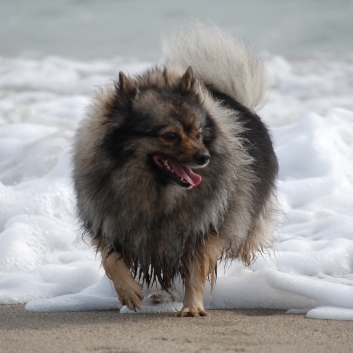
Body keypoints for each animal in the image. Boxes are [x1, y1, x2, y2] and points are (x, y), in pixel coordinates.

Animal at [72, 21, 278, 316]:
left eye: (199, 133)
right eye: (170, 136)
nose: (204, 157)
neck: (155, 192)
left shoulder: (201, 230)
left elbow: (196, 271)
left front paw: (192, 307)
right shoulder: (111, 223)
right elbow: (111, 260)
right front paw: (129, 292)